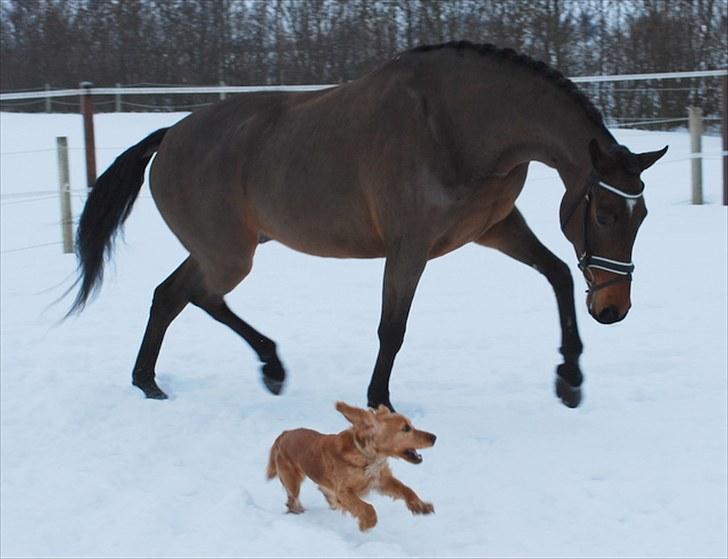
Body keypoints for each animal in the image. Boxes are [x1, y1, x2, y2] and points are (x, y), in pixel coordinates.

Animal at [68, 41, 664, 412]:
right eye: (605, 214)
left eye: (642, 216)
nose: (614, 309)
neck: (459, 128)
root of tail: (168, 136)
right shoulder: (410, 247)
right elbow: (392, 328)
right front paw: (380, 402)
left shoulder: (493, 228)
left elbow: (559, 274)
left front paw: (570, 380)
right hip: (230, 254)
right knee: (194, 296)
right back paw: (264, 367)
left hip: (227, 248)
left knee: (171, 296)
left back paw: (158, 380)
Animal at [268, 402, 436, 528]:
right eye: (406, 428)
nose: (434, 437)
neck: (367, 456)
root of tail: (283, 434)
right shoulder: (343, 491)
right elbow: (367, 508)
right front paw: (367, 524)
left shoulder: (381, 480)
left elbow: (406, 489)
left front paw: (420, 506)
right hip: (292, 481)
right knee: (292, 500)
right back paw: (298, 512)